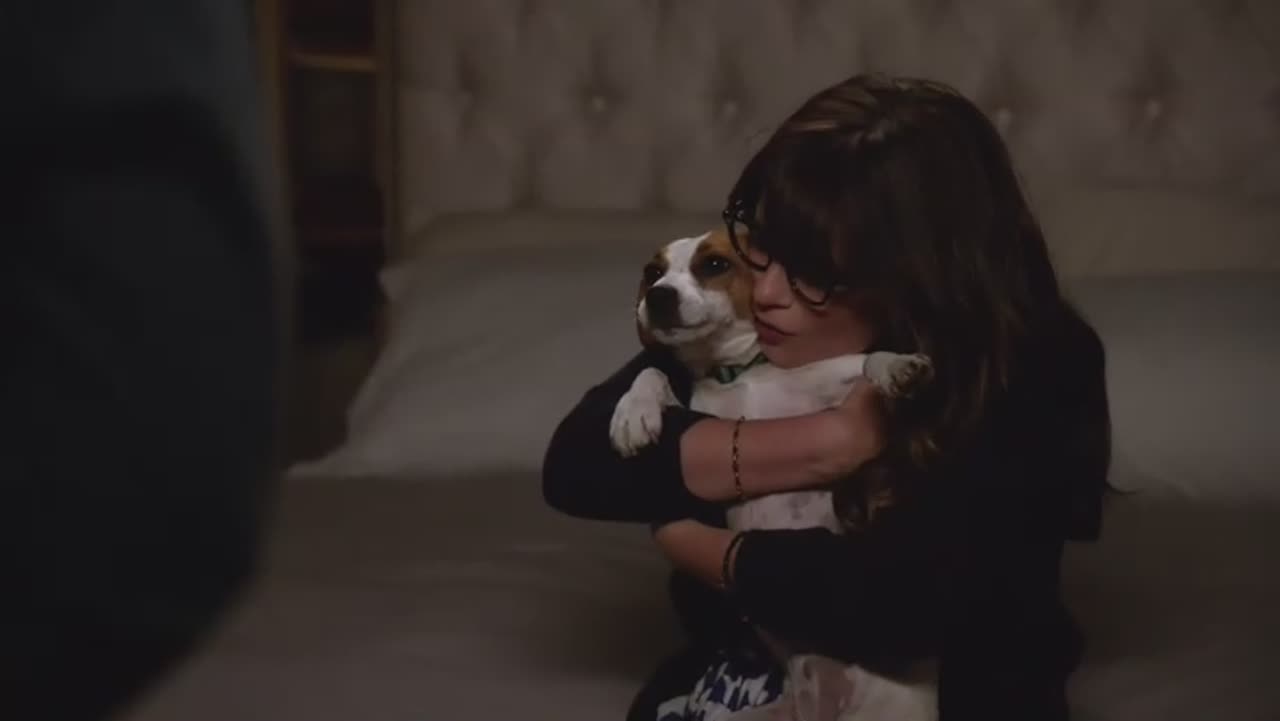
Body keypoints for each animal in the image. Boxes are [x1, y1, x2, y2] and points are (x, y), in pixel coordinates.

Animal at [610, 228, 938, 721]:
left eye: (714, 264)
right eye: (653, 271)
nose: (658, 295)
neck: (740, 376)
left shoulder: (838, 380)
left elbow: (867, 361)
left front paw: (897, 366)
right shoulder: (698, 416)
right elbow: (651, 371)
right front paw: (631, 413)